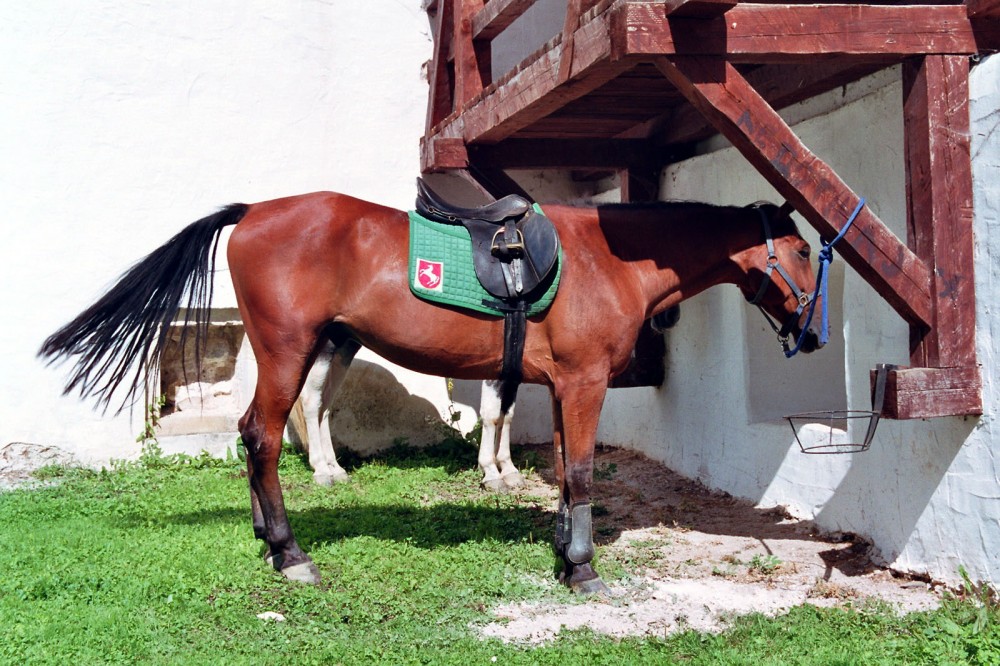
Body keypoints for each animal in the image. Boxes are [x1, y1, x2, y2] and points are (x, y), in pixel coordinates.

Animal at [39, 189, 820, 592]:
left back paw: (267, 539)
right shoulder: (584, 382)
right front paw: (583, 569)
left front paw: (562, 555)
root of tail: (256, 209)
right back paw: (290, 552)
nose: (813, 335)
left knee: (249, 438)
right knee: (262, 435)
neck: (604, 259)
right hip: (289, 352)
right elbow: (581, 473)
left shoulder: (562, 386)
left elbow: (562, 471)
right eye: (803, 250)